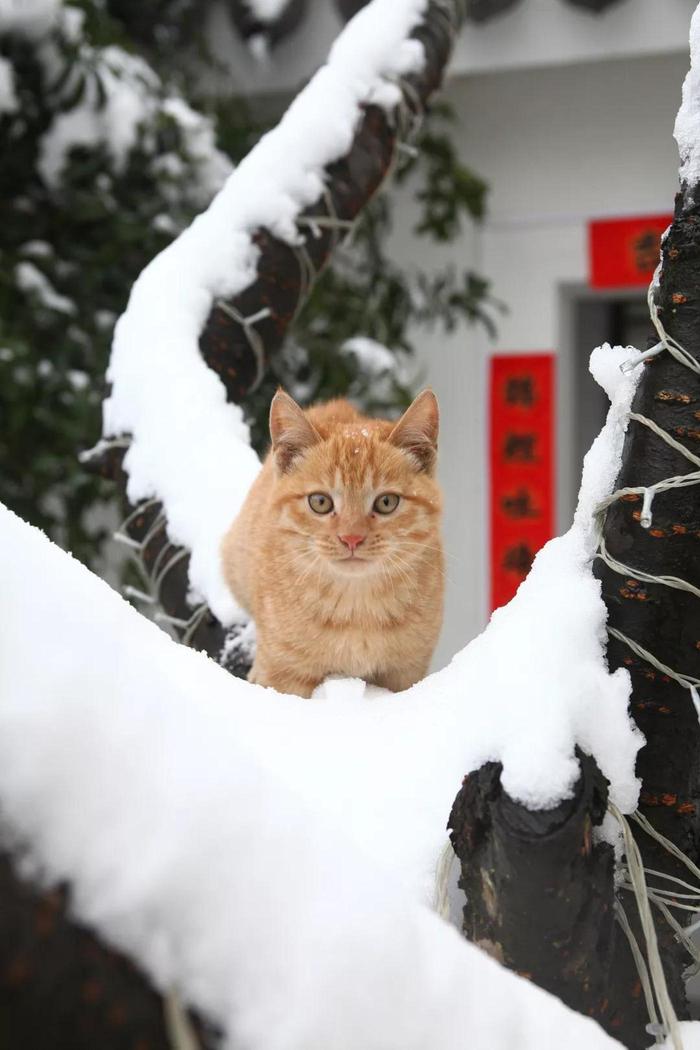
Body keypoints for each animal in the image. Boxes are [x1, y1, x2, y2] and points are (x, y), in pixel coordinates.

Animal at [221, 388, 442, 697]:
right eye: (320, 502)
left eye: (386, 502)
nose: (351, 538)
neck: (356, 607)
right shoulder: (283, 673)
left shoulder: (406, 672)